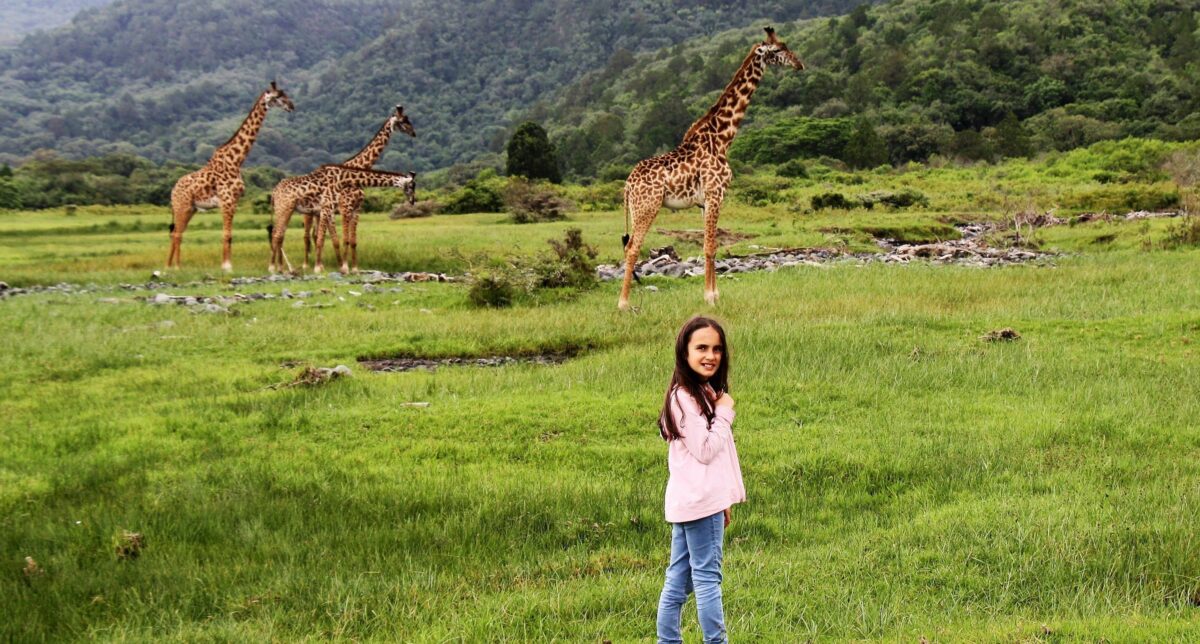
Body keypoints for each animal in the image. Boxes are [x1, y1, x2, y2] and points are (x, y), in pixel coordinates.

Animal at [166, 81, 294, 272]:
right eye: (278, 96)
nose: (292, 106)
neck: (236, 160)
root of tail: (173, 190)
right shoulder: (227, 201)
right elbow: (226, 234)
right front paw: (226, 266)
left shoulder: (234, 201)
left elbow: (230, 235)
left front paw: (227, 265)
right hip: (182, 206)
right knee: (177, 234)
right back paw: (175, 268)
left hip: (190, 209)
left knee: (176, 233)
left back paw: (169, 266)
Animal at [268, 106, 416, 273]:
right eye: (403, 122)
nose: (414, 133)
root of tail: (274, 191)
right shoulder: (343, 208)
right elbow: (340, 239)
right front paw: (342, 267)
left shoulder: (353, 209)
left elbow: (348, 240)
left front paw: (351, 267)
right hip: (295, 211)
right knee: (290, 235)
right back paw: (292, 266)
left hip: (301, 211)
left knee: (287, 234)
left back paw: (283, 266)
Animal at [617, 27, 804, 310]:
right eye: (779, 49)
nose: (799, 64)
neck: (722, 137)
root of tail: (628, 185)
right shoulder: (716, 193)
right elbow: (709, 247)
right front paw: (710, 298)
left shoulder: (706, 201)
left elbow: (711, 246)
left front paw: (715, 295)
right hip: (647, 206)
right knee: (632, 248)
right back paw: (624, 304)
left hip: (638, 208)